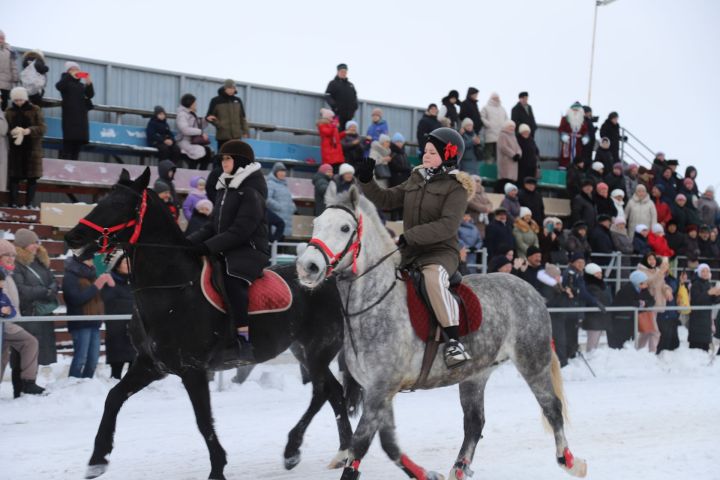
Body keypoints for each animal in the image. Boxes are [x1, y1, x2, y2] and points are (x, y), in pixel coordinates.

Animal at [66, 167, 358, 478]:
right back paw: (341, 452)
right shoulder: (150, 365)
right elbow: (113, 397)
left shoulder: (192, 370)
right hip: (303, 350)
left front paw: (217, 467)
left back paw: (294, 450)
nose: (73, 236)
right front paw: (97, 458)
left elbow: (203, 420)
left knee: (322, 392)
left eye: (120, 204)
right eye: (102, 200)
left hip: (318, 350)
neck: (173, 289)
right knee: (333, 392)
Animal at [296, 188, 588, 480]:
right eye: (316, 224)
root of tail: (530, 289)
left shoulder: (381, 389)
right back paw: (459, 469)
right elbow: (390, 445)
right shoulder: (379, 390)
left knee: (551, 407)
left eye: (345, 228)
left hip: (532, 362)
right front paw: (426, 474)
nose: (308, 266)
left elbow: (360, 444)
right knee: (474, 422)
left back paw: (570, 461)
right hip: (475, 375)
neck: (375, 302)